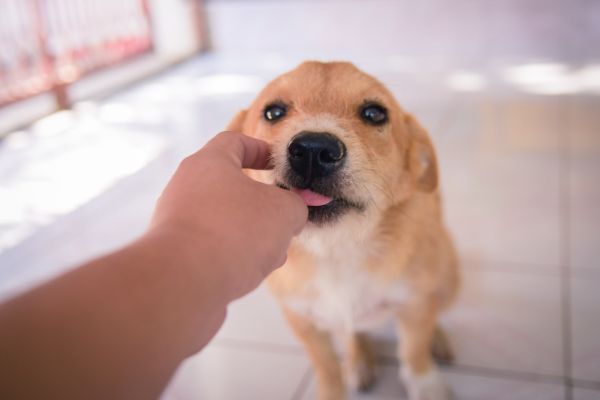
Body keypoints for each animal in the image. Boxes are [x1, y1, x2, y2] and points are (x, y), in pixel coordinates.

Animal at [226, 60, 460, 400]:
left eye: (375, 113)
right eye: (273, 112)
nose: (313, 150)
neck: (336, 249)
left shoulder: (414, 302)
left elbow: (414, 350)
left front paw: (426, 384)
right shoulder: (301, 319)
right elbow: (326, 365)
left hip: (450, 277)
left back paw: (438, 338)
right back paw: (359, 361)